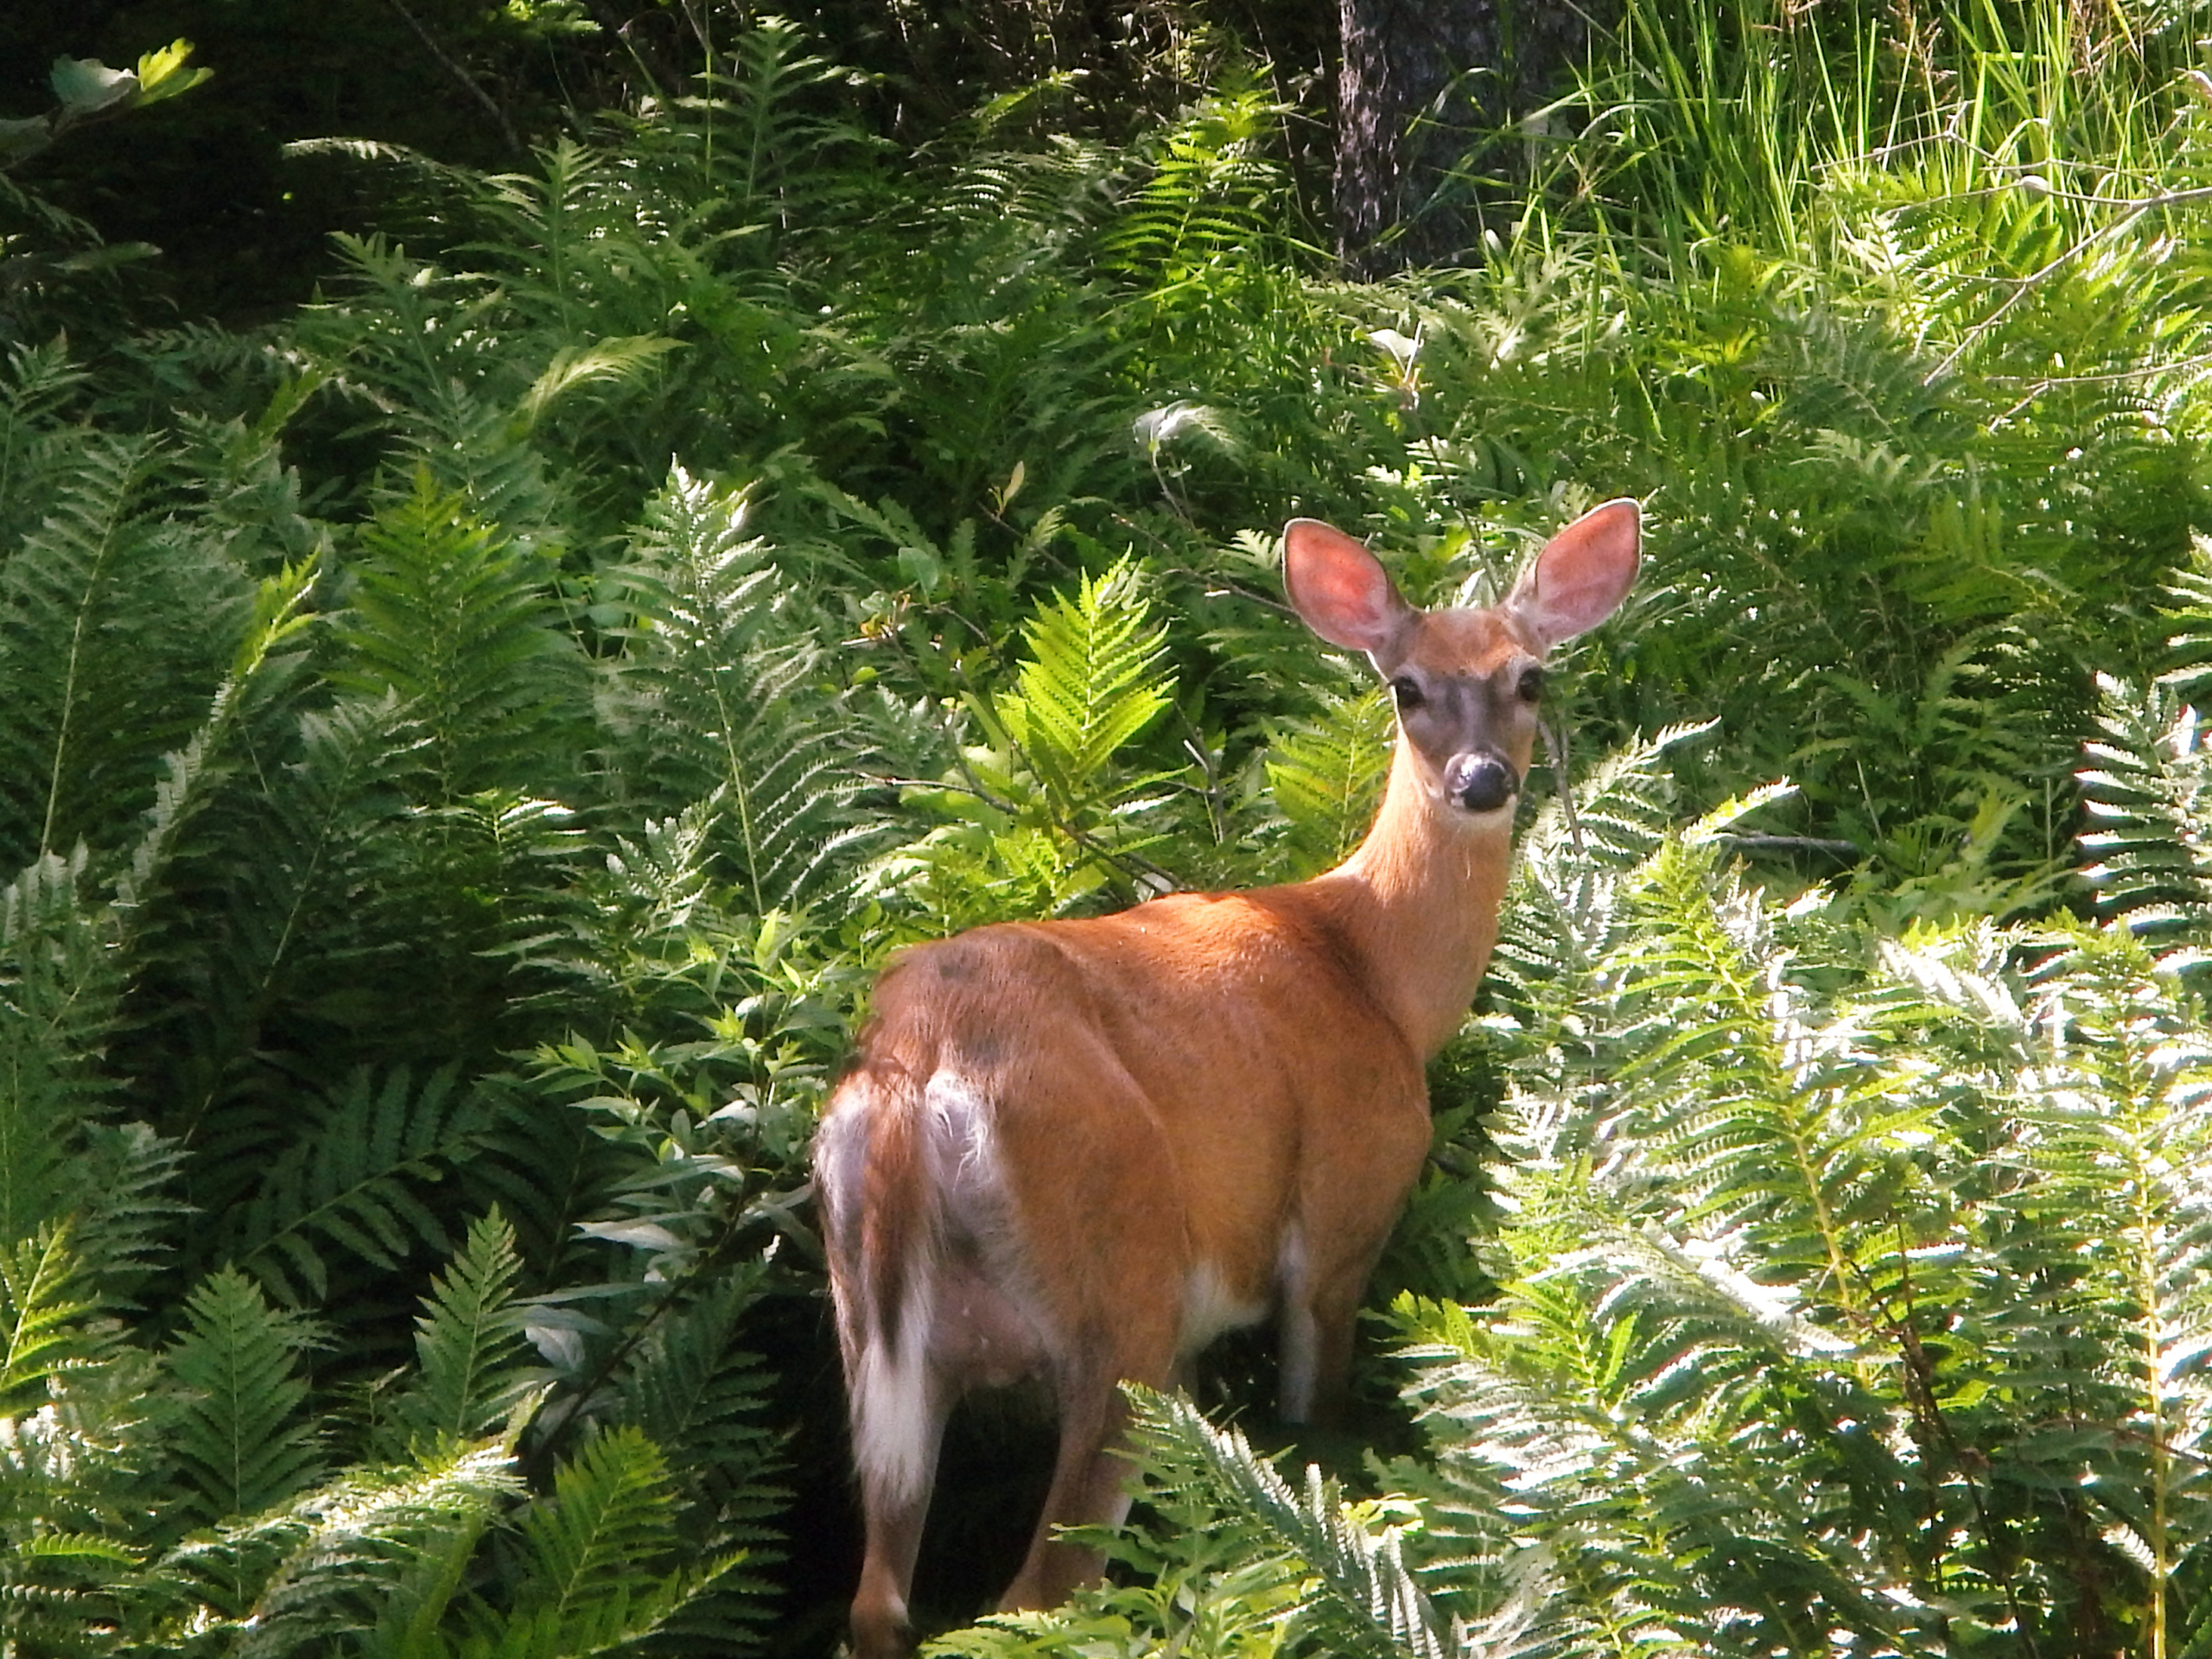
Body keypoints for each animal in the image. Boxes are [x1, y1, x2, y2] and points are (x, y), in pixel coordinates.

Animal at [814, 499, 1645, 1659]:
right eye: (1406, 687)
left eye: (1529, 678)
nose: (1482, 781)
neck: (1375, 972)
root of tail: (918, 1067)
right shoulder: (1344, 1208)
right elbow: (1313, 1421)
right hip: (1121, 1284)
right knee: (1042, 1591)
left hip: (879, 1335)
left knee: (881, 1599)